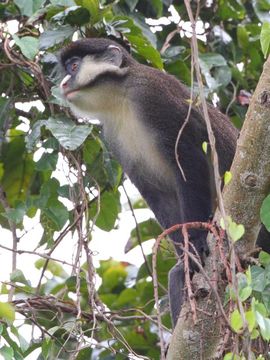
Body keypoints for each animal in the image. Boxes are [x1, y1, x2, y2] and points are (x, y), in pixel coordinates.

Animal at [57, 38, 238, 328]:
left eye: (73, 66)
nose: (63, 83)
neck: (120, 97)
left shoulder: (153, 97)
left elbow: (190, 162)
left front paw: (195, 242)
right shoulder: (114, 137)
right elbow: (158, 194)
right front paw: (185, 259)